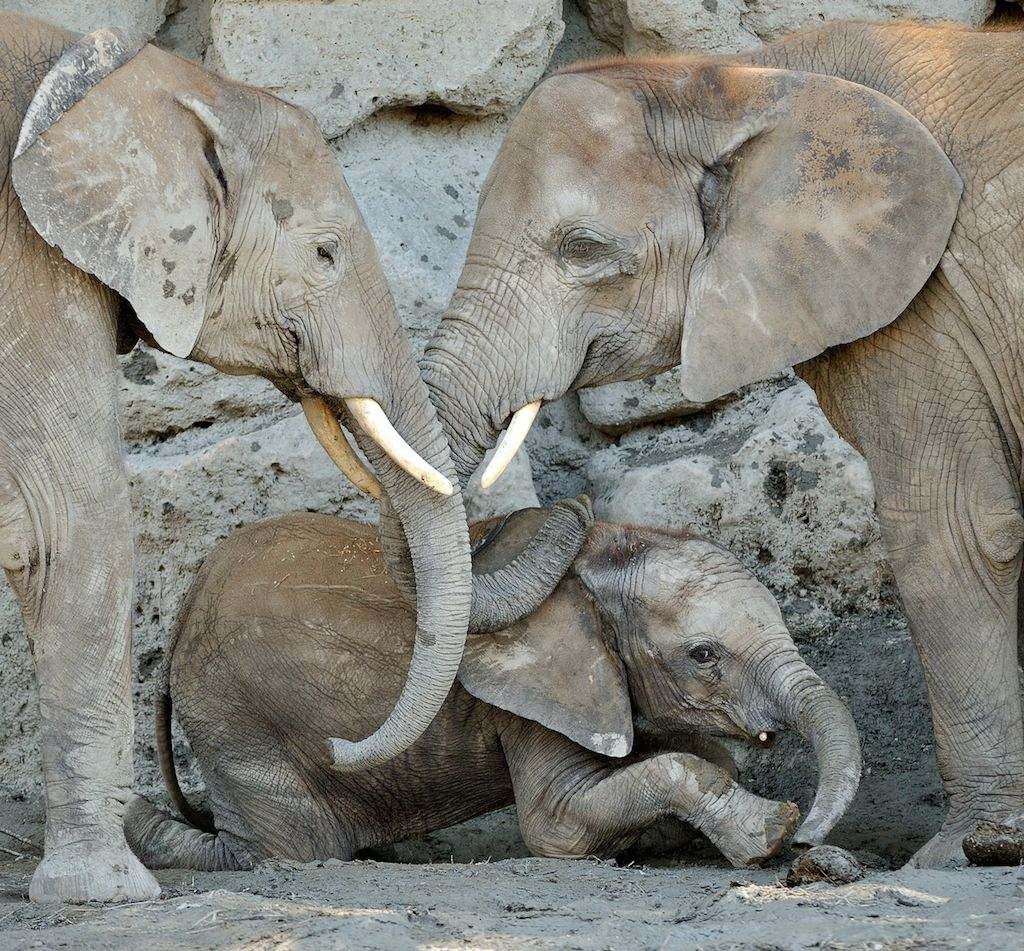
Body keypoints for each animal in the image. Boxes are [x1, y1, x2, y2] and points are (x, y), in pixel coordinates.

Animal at [0, 14, 586, 902]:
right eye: (324, 254)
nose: (577, 509)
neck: (129, 73)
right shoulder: (32, 267)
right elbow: (66, 523)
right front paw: (103, 892)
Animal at [123, 500, 860, 871]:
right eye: (703, 654)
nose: (811, 839)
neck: (597, 551)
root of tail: (183, 605)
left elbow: (691, 755)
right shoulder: (535, 694)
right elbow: (556, 826)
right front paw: (771, 831)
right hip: (234, 710)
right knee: (295, 850)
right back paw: (139, 822)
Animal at [420, 19, 1024, 868]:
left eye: (582, 250)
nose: (578, 506)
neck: (744, 78)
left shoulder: (925, 303)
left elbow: (958, 530)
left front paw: (962, 852)